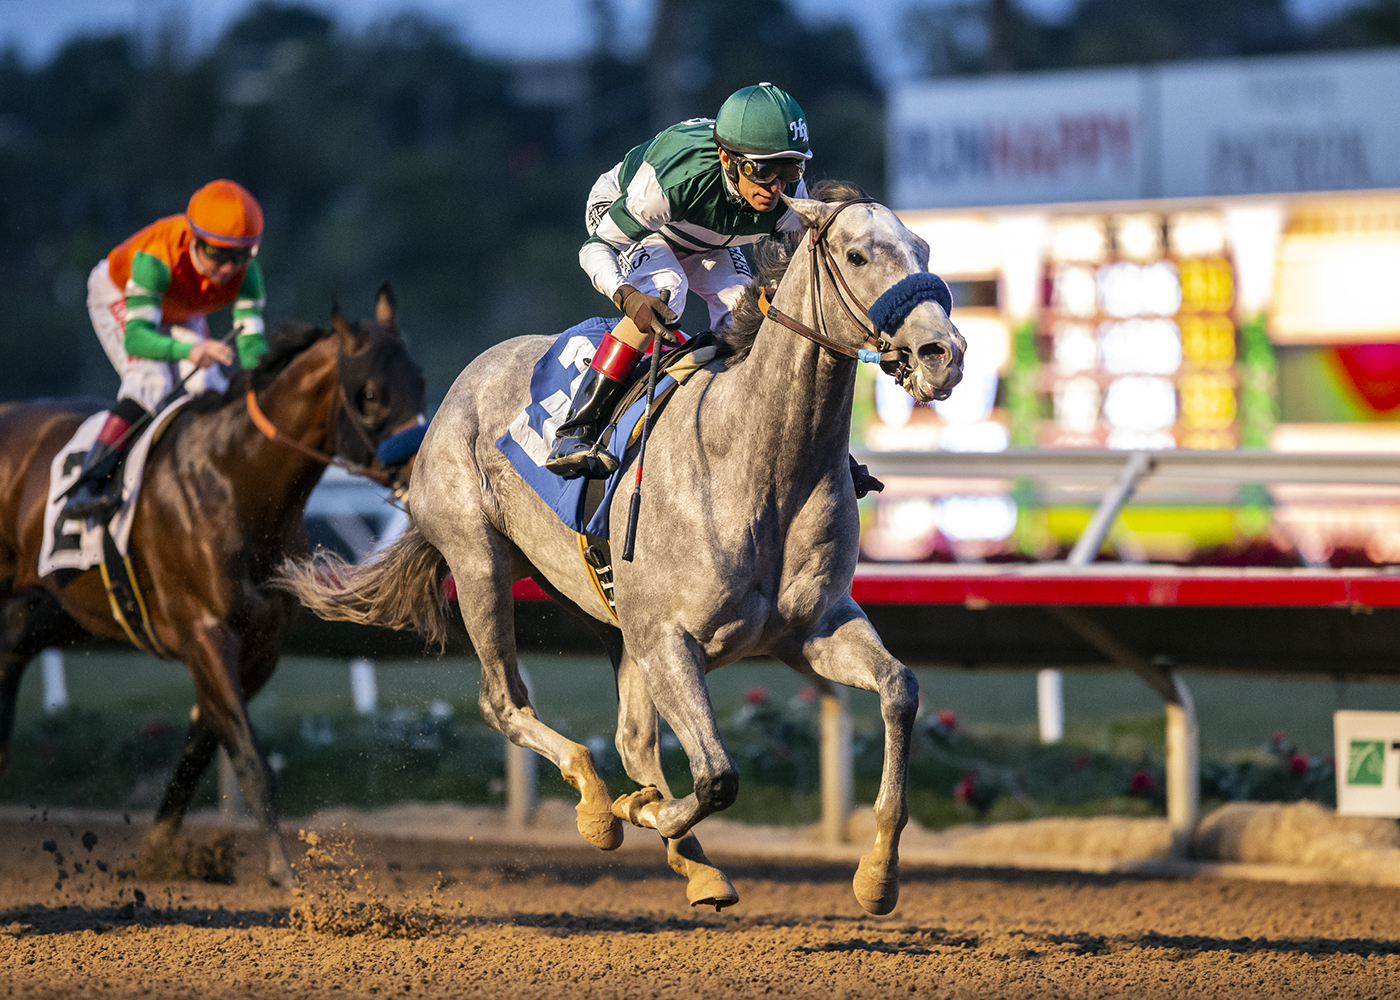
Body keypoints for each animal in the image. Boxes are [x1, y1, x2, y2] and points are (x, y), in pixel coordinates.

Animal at [0, 285, 422, 879]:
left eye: (420, 378)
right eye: (369, 394)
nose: (424, 463)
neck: (235, 480)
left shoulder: (260, 645)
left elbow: (202, 743)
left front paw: (158, 851)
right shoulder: (204, 632)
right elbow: (247, 752)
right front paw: (284, 872)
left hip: (67, 605)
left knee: (15, 641)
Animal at [280, 187, 968, 913]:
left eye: (923, 248)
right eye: (857, 254)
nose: (943, 352)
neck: (759, 459)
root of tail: (466, 380)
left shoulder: (812, 627)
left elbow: (899, 689)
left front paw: (877, 874)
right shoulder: (670, 640)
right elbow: (717, 776)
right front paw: (640, 811)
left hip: (611, 616)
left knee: (632, 740)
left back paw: (692, 862)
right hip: (479, 561)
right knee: (505, 701)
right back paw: (597, 805)